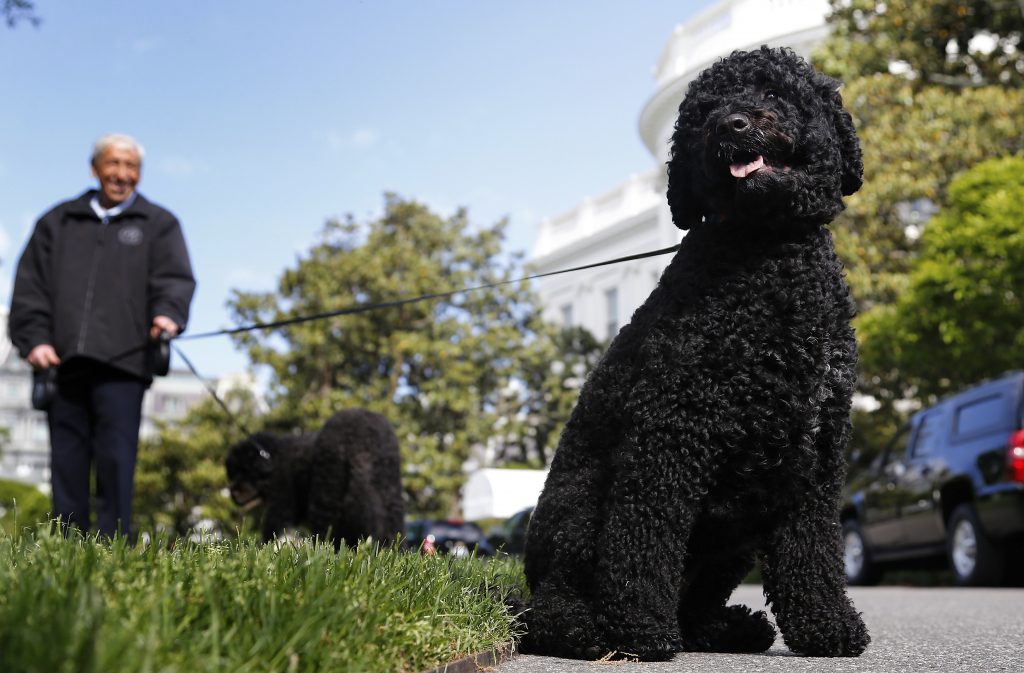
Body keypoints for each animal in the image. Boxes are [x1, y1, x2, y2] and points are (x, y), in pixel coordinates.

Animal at [228, 407, 403, 549]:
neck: (271, 458)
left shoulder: (282, 499)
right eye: (232, 473)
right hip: (389, 490)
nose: (232, 494)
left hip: (327, 492)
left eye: (242, 471)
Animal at [524, 48, 868, 659]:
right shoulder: (671, 430)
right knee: (553, 601)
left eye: (774, 94)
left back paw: (727, 627)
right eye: (704, 110)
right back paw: (584, 629)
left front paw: (826, 624)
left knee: (696, 602)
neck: (767, 254)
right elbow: (645, 539)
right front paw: (639, 628)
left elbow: (813, 550)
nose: (731, 124)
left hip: (737, 531)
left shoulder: (816, 444)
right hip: (579, 510)